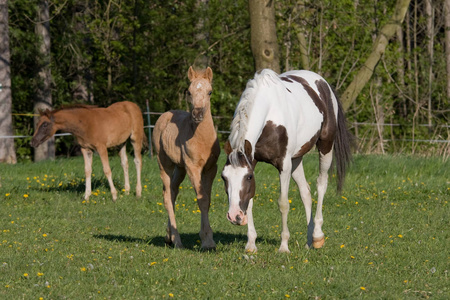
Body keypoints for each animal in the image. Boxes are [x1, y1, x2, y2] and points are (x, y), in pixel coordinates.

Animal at [153, 66, 220, 251]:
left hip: (180, 168)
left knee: (172, 192)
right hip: (165, 164)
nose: (197, 114)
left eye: (210, 92)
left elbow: (207, 199)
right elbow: (202, 200)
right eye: (189, 92)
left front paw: (207, 239)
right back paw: (176, 240)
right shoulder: (193, 168)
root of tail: (165, 114)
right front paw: (207, 241)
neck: (202, 139)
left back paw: (169, 236)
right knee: (167, 196)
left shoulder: (211, 168)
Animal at [221, 68, 352, 253]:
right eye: (223, 177)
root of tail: (323, 83)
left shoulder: (284, 165)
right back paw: (309, 241)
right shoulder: (253, 159)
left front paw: (284, 246)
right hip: (296, 159)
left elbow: (283, 203)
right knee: (305, 192)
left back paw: (317, 236)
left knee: (321, 185)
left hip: (326, 146)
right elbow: (250, 200)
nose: (234, 216)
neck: (269, 113)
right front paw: (251, 244)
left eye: (248, 177)